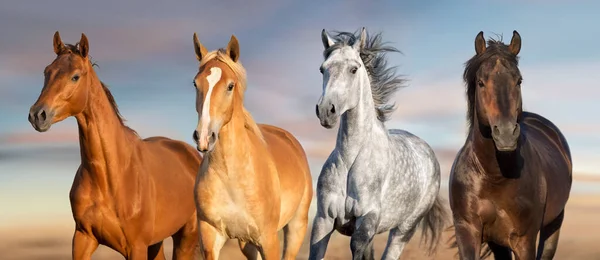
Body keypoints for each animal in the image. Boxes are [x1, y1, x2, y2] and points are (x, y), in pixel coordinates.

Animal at [27, 31, 202, 258]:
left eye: (75, 76)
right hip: (156, 242)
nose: (37, 115)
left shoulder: (136, 247)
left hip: (186, 237)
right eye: (47, 72)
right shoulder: (83, 238)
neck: (111, 177)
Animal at [190, 33, 314, 260]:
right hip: (246, 243)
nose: (203, 137)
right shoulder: (211, 237)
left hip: (296, 227)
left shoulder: (269, 240)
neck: (231, 177)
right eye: (196, 83)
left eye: (230, 86)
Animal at [310, 26, 446, 260]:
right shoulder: (323, 220)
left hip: (404, 230)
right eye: (322, 69)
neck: (351, 160)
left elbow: (356, 247)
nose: (327, 111)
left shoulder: (368, 218)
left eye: (353, 69)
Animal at [450, 31, 572, 260]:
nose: (506, 134)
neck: (493, 175)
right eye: (481, 82)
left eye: (519, 81)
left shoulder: (524, 240)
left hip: (554, 225)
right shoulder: (467, 231)